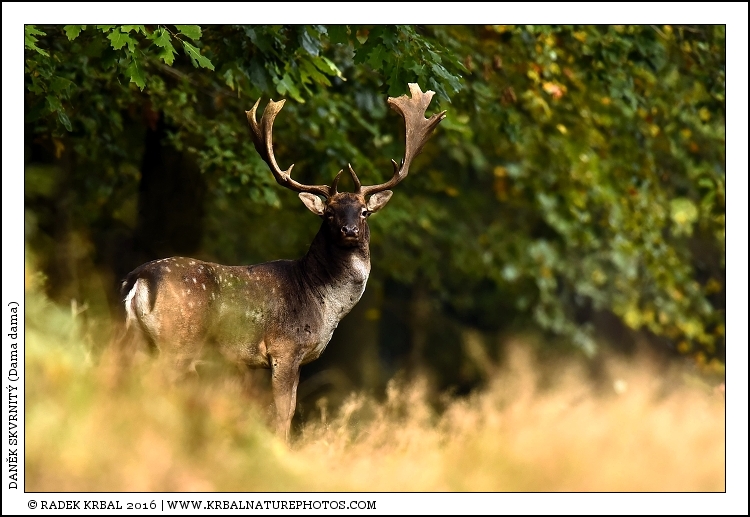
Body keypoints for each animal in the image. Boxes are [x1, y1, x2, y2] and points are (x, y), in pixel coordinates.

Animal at [119, 83, 446, 441]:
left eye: (364, 212)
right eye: (329, 213)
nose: (349, 231)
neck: (323, 302)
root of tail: (139, 278)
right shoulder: (285, 348)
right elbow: (284, 413)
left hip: (138, 337)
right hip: (178, 340)